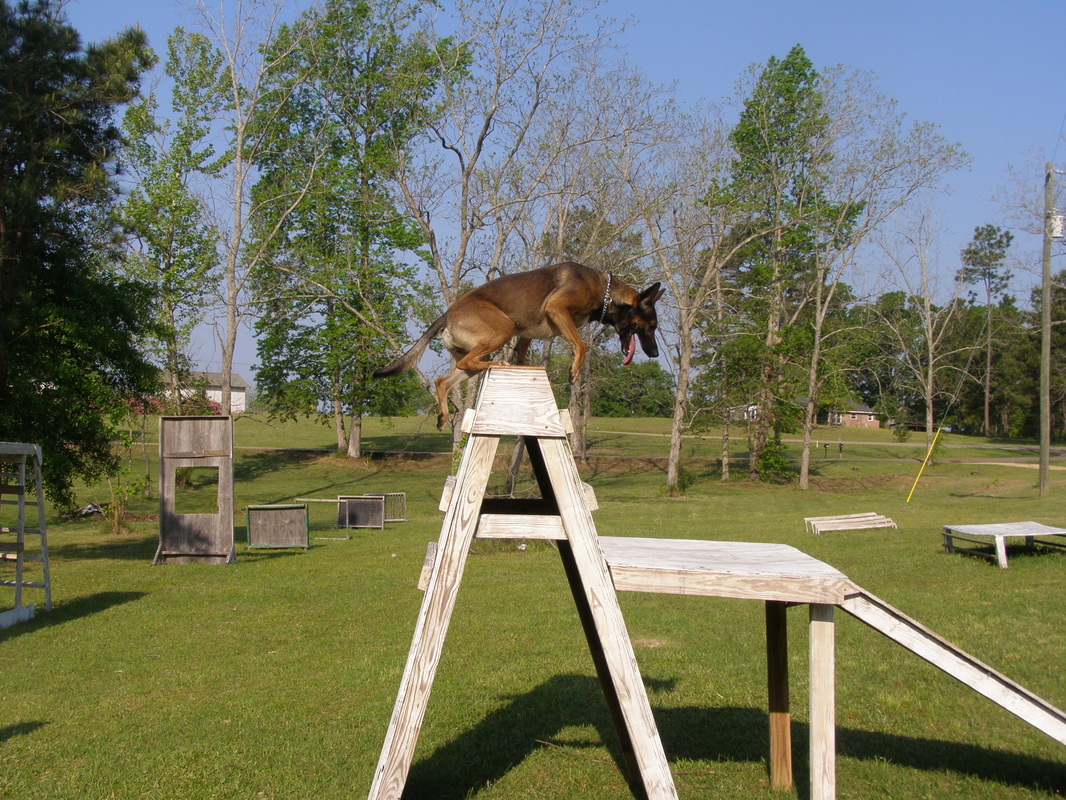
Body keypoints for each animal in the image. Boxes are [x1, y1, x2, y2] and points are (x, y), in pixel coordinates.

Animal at [373, 263, 656, 428]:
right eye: (651, 326)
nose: (654, 353)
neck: (605, 293)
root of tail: (447, 315)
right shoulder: (557, 309)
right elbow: (581, 344)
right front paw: (574, 371)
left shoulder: (527, 334)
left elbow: (523, 353)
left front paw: (526, 369)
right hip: (503, 328)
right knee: (467, 362)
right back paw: (499, 362)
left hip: (482, 352)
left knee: (443, 381)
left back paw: (443, 415)